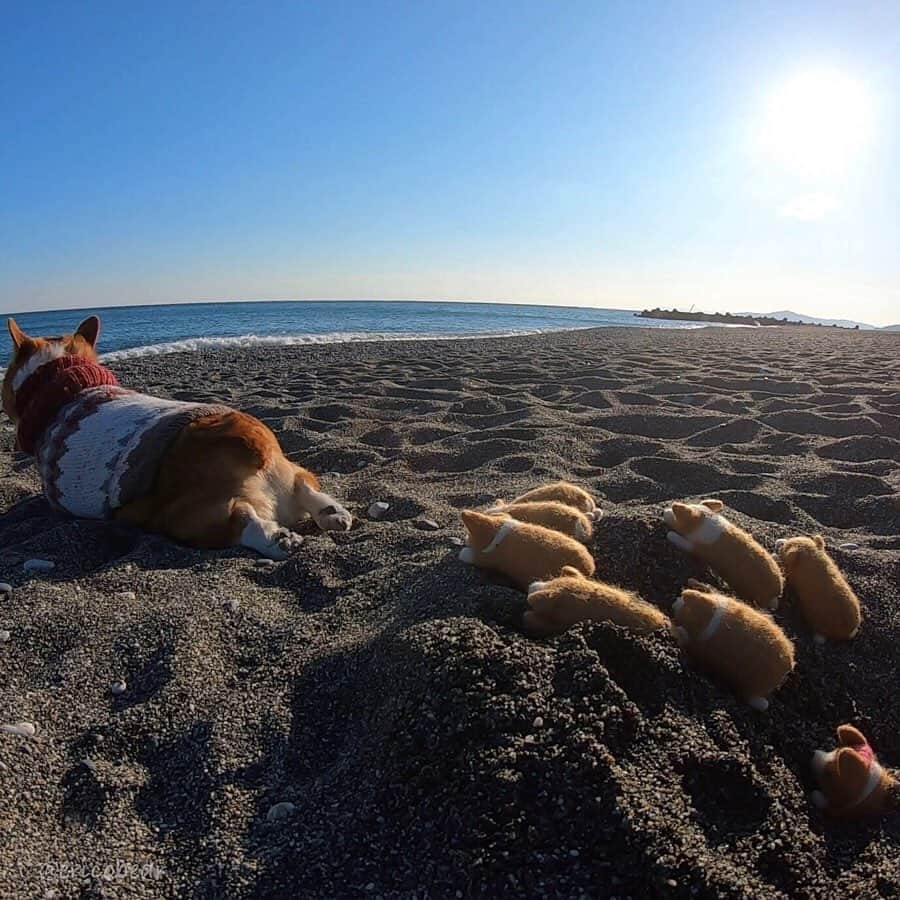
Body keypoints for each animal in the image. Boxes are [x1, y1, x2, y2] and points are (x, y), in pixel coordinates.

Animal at [4, 316, 356, 556]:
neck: (66, 385)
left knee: (240, 521)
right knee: (304, 484)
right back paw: (331, 513)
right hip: (286, 469)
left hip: (184, 516)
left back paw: (277, 540)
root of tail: (247, 442)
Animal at [458, 512, 596, 592]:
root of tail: (589, 567)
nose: (465, 539)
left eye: (471, 537)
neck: (499, 534)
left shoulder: (486, 557)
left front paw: (462, 552)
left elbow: (470, 555)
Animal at [672, 580, 792, 712]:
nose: (675, 601)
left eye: (684, 607)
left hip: (753, 687)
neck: (710, 618)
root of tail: (787, 667)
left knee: (756, 701)